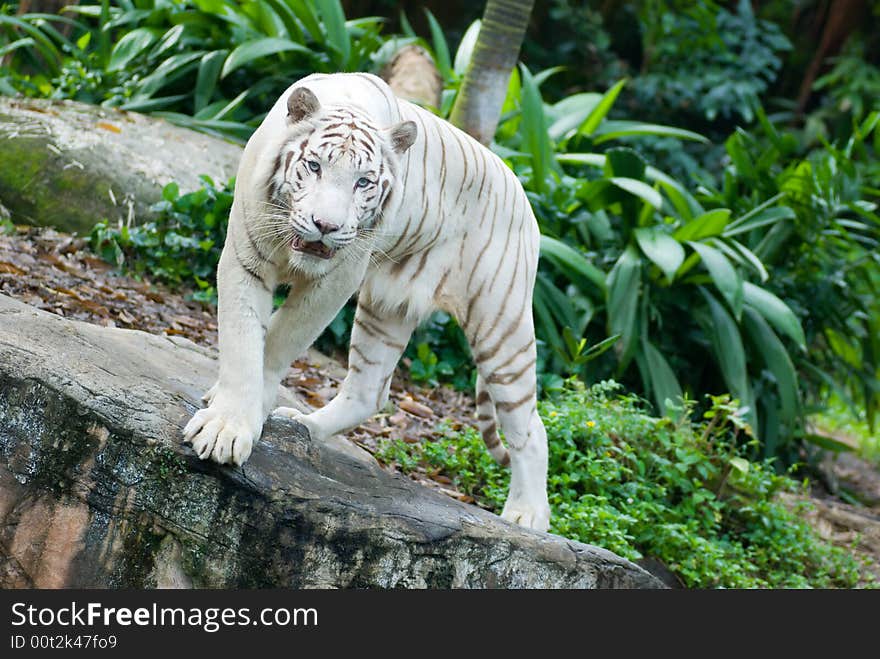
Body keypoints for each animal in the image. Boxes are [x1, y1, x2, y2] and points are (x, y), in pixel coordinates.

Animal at [181, 73, 548, 532]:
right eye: (314, 166)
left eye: (363, 182)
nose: (325, 225)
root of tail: (523, 193)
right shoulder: (245, 256)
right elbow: (243, 343)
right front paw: (226, 425)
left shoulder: (337, 278)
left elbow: (279, 343)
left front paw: (238, 422)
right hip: (386, 309)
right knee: (370, 390)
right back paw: (303, 424)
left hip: (500, 324)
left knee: (531, 429)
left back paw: (527, 514)